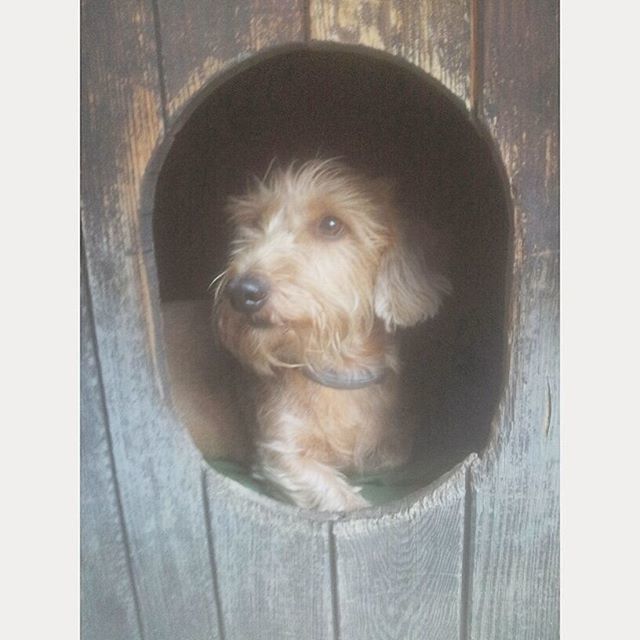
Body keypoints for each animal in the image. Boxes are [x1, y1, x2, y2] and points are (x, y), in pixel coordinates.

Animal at [215, 160, 450, 510]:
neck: (339, 373)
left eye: (331, 224)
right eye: (254, 222)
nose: (242, 291)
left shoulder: (393, 448)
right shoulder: (282, 452)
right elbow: (339, 497)